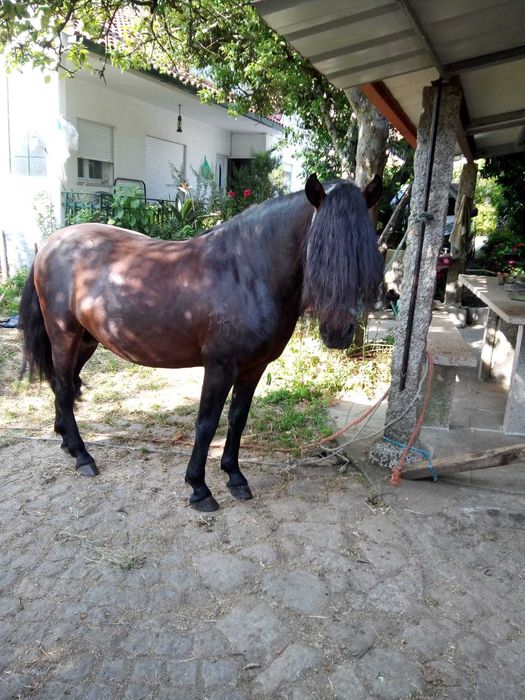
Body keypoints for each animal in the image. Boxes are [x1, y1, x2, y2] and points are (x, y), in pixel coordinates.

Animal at [19, 174, 384, 512]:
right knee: (64, 388)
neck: (246, 271)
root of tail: (48, 246)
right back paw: (83, 456)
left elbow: (237, 419)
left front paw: (235, 477)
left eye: (364, 249)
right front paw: (199, 488)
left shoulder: (254, 367)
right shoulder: (220, 366)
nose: (337, 332)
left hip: (86, 341)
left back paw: (67, 442)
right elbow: (206, 425)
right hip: (64, 334)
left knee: (64, 385)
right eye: (319, 248)